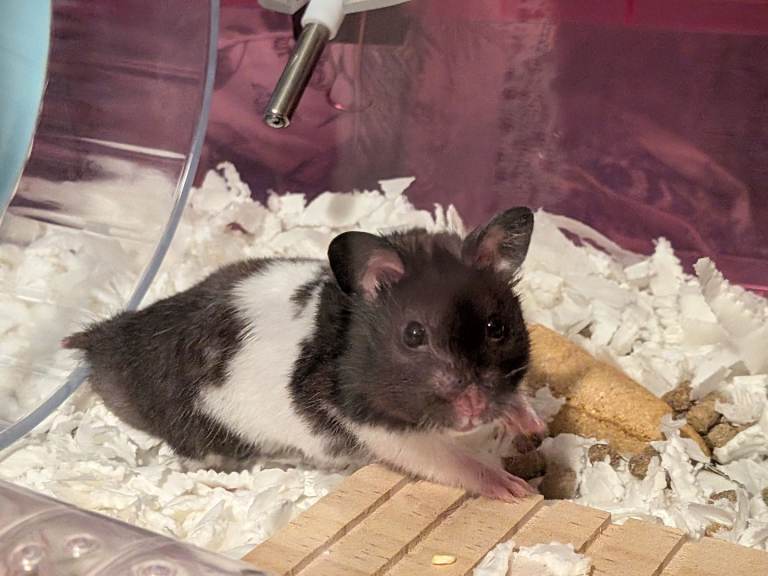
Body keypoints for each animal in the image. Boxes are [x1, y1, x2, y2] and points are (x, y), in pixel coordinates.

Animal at [63, 206, 545, 500]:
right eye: (413, 335)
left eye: (497, 328)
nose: (476, 409)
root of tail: (103, 342)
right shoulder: (372, 423)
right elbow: (445, 458)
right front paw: (513, 489)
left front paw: (529, 423)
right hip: (206, 435)